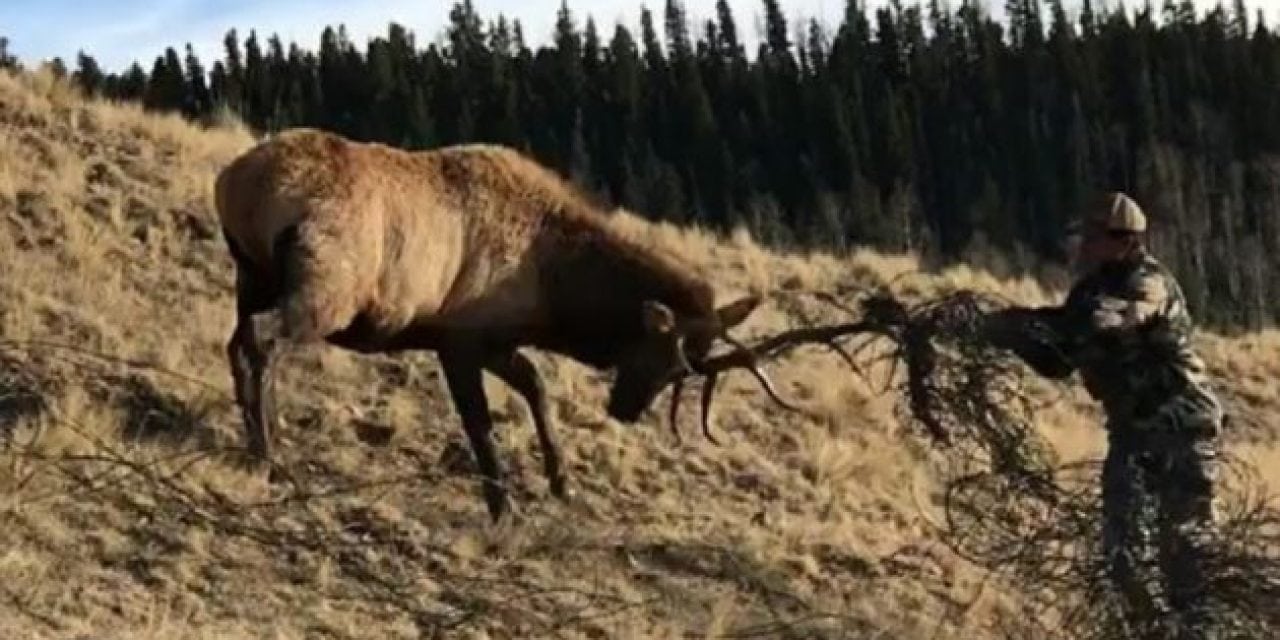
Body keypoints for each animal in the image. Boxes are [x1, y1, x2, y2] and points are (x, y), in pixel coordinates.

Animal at [215, 128, 865, 519]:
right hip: (327, 286)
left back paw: (257, 435)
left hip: (251, 275)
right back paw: (270, 453)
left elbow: (537, 386)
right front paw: (504, 506)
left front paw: (560, 480)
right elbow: (480, 425)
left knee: (236, 341)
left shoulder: (498, 340)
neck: (553, 289)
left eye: (679, 370)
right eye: (659, 353)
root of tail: (235, 184)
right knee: (263, 340)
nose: (625, 409)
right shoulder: (459, 337)